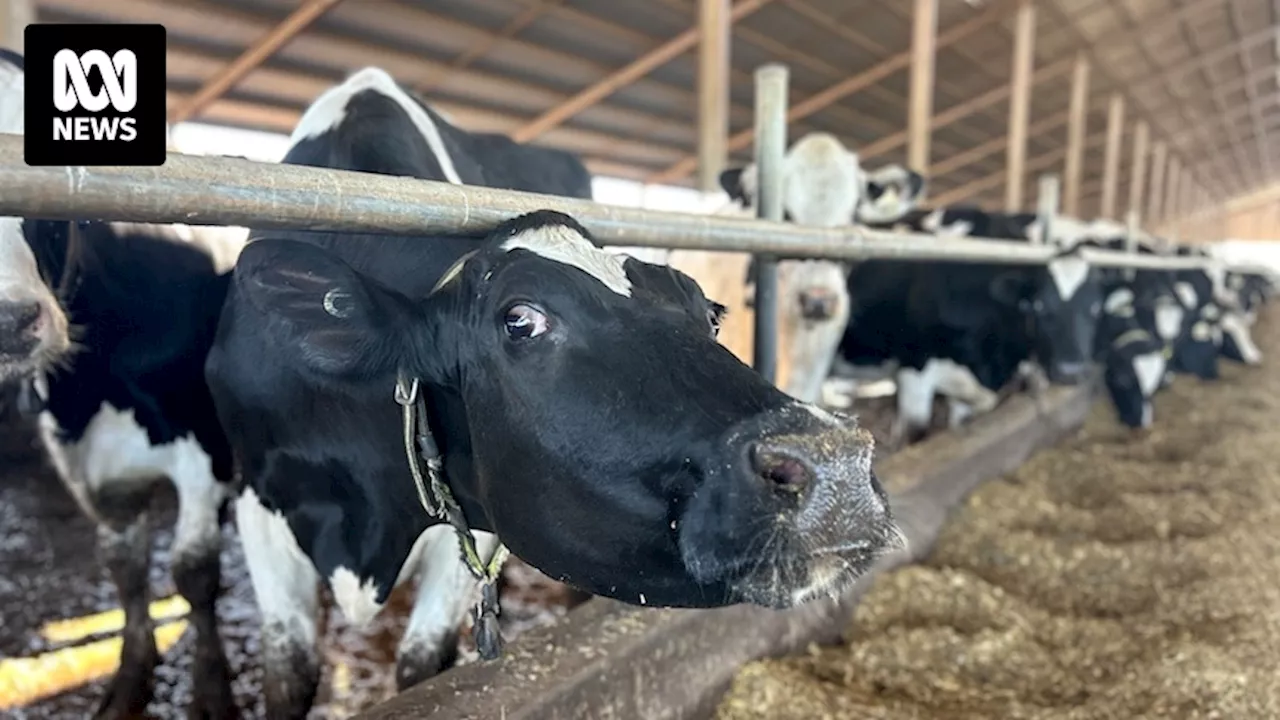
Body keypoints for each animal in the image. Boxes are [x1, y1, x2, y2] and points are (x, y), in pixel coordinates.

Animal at [207, 68, 901, 717]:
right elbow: (289, 676)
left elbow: (422, 667)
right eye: (521, 319)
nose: (838, 468)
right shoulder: (257, 501)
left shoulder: (471, 520)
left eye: (709, 315)